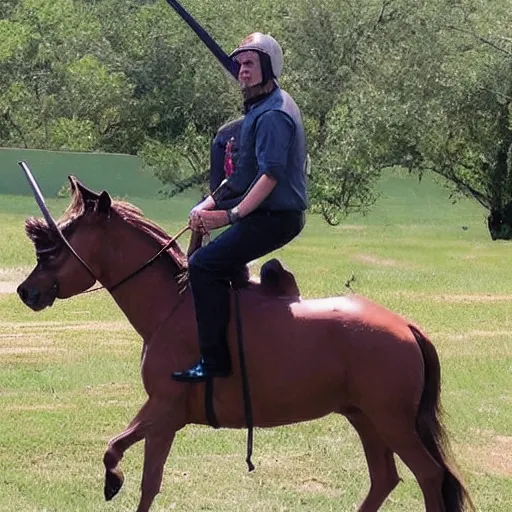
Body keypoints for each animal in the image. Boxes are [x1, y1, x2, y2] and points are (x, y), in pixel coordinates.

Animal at [17, 177, 472, 512]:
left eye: (54, 246)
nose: (25, 291)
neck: (173, 305)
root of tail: (406, 326)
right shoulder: (163, 415)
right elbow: (131, 465)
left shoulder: (164, 411)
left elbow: (130, 467)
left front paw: (116, 482)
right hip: (365, 418)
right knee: (385, 479)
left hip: (391, 421)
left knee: (429, 476)